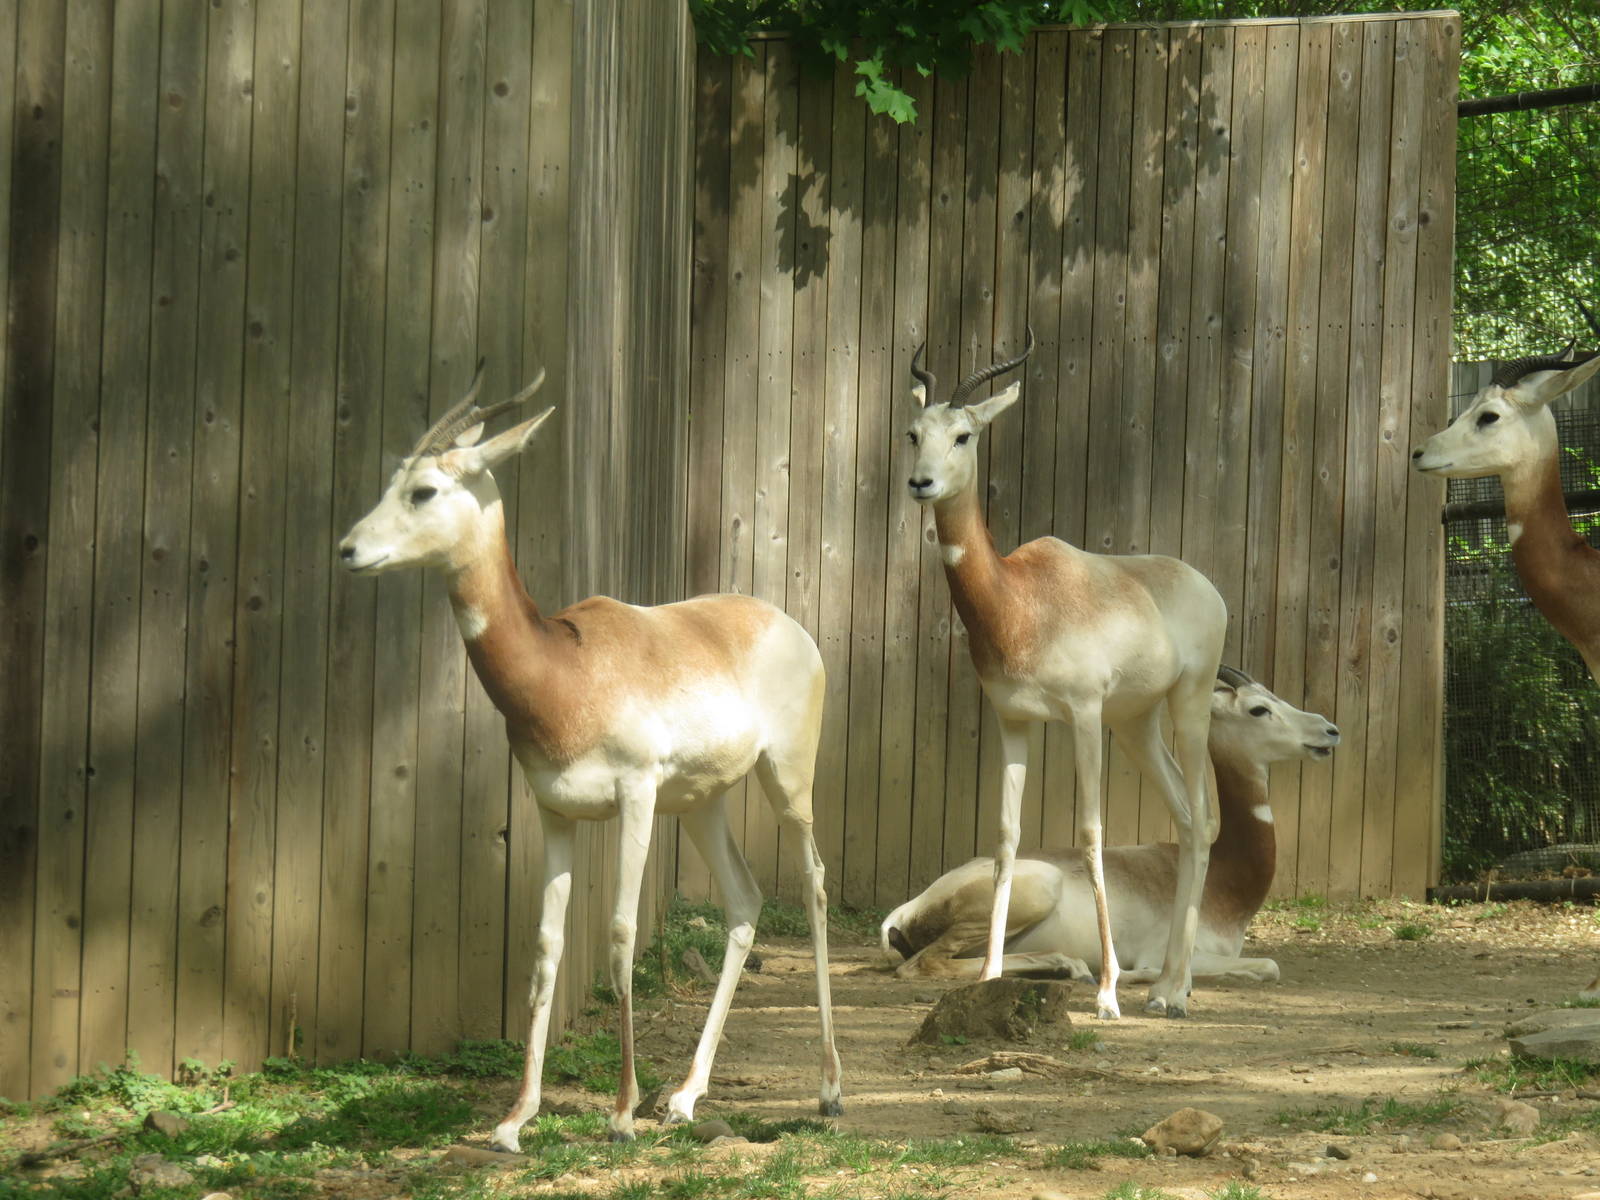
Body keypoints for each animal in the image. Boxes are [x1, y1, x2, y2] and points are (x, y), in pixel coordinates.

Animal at [338, 368, 842, 1151]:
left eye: (423, 490)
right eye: (392, 479)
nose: (349, 549)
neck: (564, 671)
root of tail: (784, 622)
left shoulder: (635, 795)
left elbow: (620, 933)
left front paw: (621, 1111)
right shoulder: (554, 810)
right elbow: (547, 948)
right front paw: (515, 1118)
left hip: (786, 779)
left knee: (814, 884)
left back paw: (827, 1090)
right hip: (700, 803)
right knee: (745, 899)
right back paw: (686, 1096)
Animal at [880, 667, 1339, 984]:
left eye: (1275, 696)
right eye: (1258, 709)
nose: (1329, 730)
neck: (1225, 880)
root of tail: (903, 912)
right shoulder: (1170, 950)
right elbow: (1268, 964)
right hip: (1038, 888)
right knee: (926, 965)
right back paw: (1076, 967)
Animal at [905, 329, 1228, 1019]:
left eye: (964, 435)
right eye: (914, 432)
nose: (921, 483)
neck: (1021, 600)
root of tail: (1199, 582)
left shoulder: (1081, 714)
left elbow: (1091, 835)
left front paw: (1105, 992)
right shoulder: (1013, 719)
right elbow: (1005, 838)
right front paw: (989, 974)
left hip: (1186, 709)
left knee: (1203, 821)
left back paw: (1171, 992)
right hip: (1135, 723)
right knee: (1187, 822)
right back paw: (1168, 983)